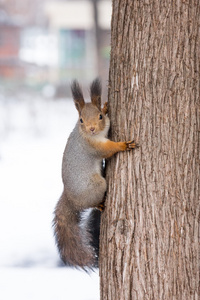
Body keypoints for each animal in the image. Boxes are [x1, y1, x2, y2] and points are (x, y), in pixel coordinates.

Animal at [52, 79, 137, 270]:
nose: (91, 129)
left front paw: (105, 106)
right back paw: (100, 204)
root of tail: (70, 200)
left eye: (100, 117)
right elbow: (108, 149)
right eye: (81, 120)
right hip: (97, 186)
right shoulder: (94, 147)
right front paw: (123, 145)